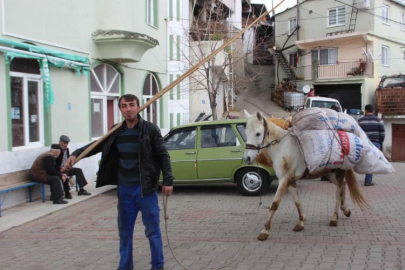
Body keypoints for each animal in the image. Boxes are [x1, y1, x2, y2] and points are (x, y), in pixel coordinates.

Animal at [241, 109, 368, 240]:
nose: (247, 158)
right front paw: (301, 222)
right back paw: (345, 210)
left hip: (339, 172)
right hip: (329, 173)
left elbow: (274, 204)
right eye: (246, 133)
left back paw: (334, 218)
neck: (282, 147)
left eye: (258, 133)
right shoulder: (290, 181)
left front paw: (265, 231)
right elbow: (297, 202)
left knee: (338, 190)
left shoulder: (284, 180)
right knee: (343, 186)